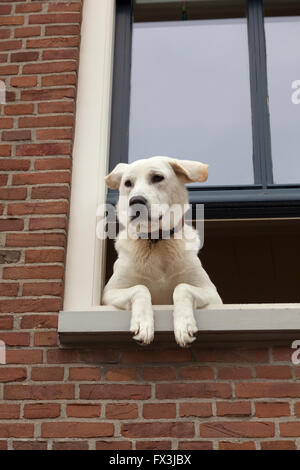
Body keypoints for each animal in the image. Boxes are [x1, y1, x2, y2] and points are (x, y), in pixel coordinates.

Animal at [102, 156, 221, 346]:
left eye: (157, 177)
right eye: (128, 183)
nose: (136, 201)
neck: (155, 241)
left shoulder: (213, 295)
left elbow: (182, 287)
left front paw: (184, 324)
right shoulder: (109, 294)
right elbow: (140, 288)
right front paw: (143, 324)